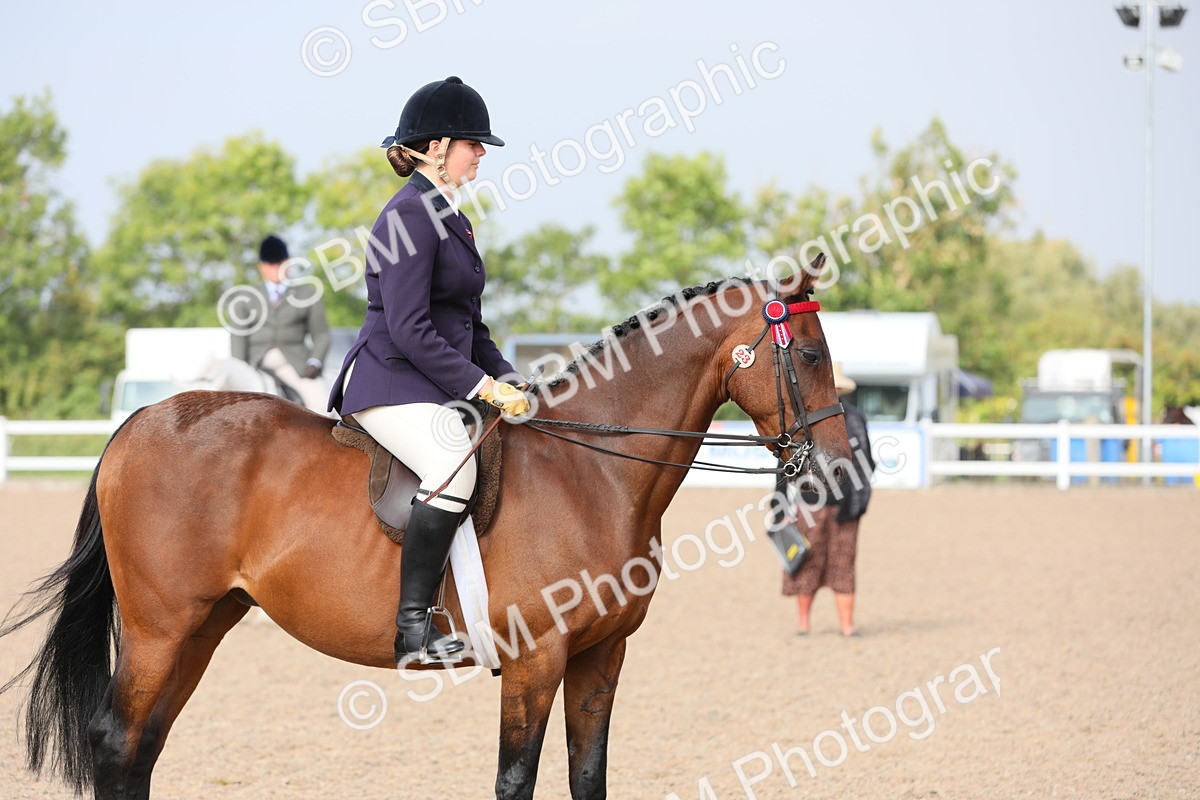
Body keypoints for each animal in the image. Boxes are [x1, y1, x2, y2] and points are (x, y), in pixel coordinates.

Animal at [0, 264, 852, 800]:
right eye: (810, 354)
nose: (842, 470)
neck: (593, 472)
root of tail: (144, 419)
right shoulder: (536, 660)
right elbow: (516, 779)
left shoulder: (601, 655)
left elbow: (589, 776)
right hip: (159, 626)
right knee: (117, 745)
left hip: (204, 624)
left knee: (144, 748)